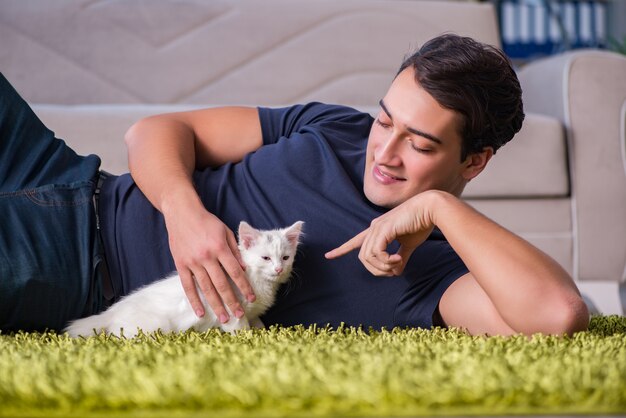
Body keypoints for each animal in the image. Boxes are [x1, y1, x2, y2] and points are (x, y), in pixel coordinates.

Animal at [66, 220, 302, 338]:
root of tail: (113, 310)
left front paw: (264, 333)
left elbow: (257, 322)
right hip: (151, 325)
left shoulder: (252, 311)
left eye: (285, 258)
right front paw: (249, 340)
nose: (279, 269)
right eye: (266, 258)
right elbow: (240, 328)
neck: (258, 280)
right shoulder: (231, 308)